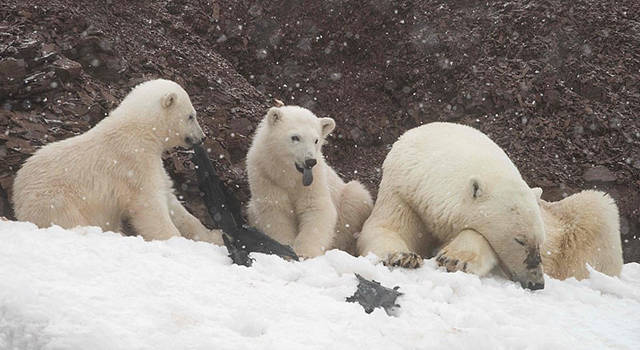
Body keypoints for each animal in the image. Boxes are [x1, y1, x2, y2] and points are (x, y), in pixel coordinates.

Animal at [13, 78, 222, 245]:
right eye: (191, 116)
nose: (202, 137)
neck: (140, 131)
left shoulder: (153, 163)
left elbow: (169, 197)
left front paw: (214, 236)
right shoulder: (133, 163)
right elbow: (149, 205)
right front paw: (175, 240)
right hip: (55, 201)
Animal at [246, 105, 376, 256]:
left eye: (316, 140)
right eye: (295, 137)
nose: (310, 161)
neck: (288, 175)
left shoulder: (314, 180)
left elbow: (316, 209)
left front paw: (304, 253)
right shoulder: (265, 176)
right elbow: (275, 212)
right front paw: (285, 249)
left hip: (348, 199)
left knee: (355, 199)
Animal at [358, 121, 624, 288]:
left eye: (541, 241)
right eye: (520, 240)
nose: (536, 283)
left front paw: (454, 259)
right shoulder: (403, 192)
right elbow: (383, 227)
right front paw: (402, 257)